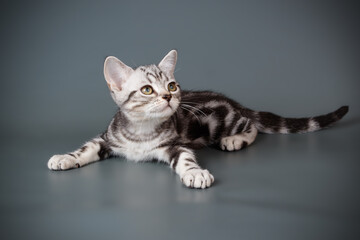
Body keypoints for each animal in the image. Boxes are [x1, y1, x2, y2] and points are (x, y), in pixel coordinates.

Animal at [47, 50, 348, 189]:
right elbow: (85, 148)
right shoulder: (108, 138)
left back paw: (234, 140)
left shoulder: (175, 145)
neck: (141, 132)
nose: (168, 97)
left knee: (251, 125)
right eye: (147, 89)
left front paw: (195, 173)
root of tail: (233, 101)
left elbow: (186, 159)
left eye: (171, 85)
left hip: (224, 121)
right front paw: (65, 157)